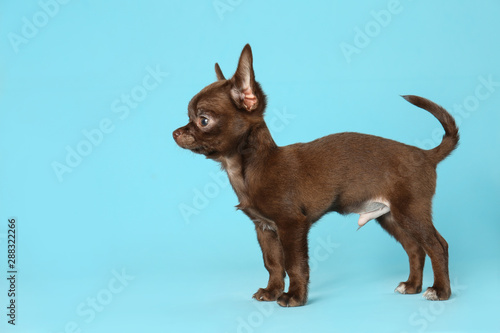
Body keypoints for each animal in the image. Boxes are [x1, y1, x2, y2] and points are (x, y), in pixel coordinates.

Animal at [174, 44, 458, 306]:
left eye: (203, 120)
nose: (175, 132)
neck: (247, 169)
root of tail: (426, 154)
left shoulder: (292, 225)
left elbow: (294, 264)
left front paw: (295, 297)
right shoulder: (265, 228)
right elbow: (273, 263)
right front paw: (272, 291)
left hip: (410, 212)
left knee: (437, 245)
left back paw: (440, 291)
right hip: (390, 216)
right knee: (415, 248)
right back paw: (412, 286)